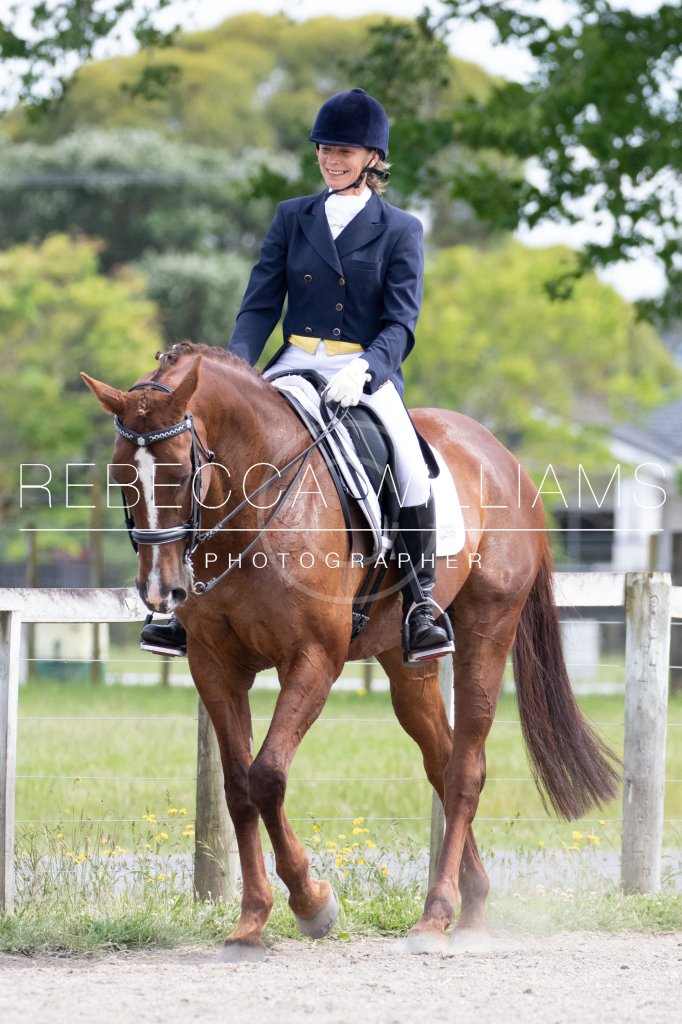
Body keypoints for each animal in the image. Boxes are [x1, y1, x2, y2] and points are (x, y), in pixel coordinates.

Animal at [82, 341, 619, 959]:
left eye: (179, 471)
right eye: (121, 474)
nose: (160, 591)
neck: (254, 502)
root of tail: (506, 459)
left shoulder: (314, 659)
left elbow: (268, 776)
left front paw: (312, 903)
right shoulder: (215, 667)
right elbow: (239, 786)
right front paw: (251, 922)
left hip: (489, 626)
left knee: (466, 769)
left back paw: (436, 917)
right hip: (405, 664)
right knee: (441, 760)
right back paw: (471, 906)